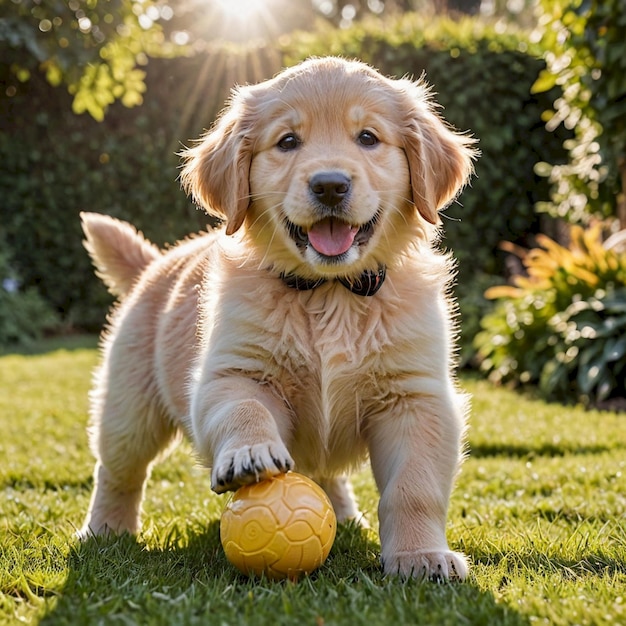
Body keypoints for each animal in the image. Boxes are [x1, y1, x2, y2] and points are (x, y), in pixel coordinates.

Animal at [80, 56, 476, 576]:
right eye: (287, 142)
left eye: (368, 137)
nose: (330, 185)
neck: (330, 291)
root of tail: (157, 262)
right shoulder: (232, 372)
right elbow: (244, 409)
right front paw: (249, 454)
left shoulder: (415, 397)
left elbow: (415, 487)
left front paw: (420, 556)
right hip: (128, 407)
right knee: (118, 469)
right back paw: (105, 531)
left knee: (324, 474)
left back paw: (343, 517)